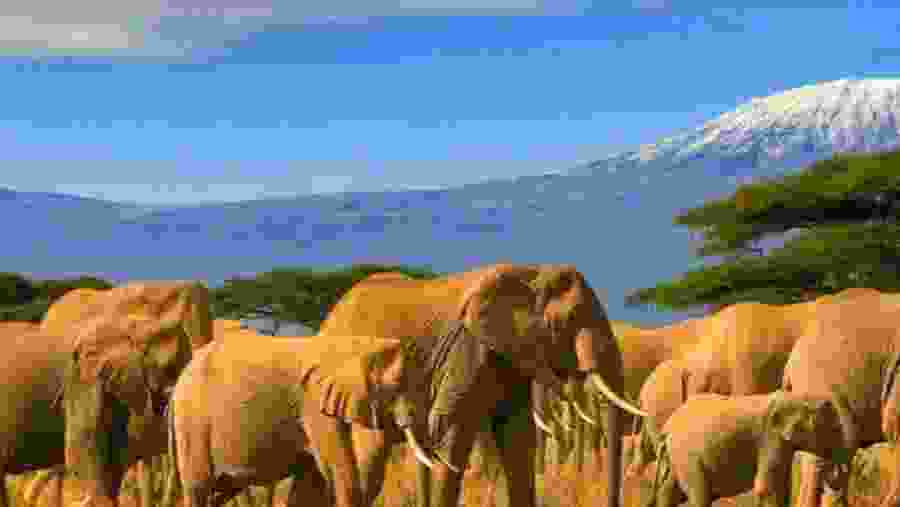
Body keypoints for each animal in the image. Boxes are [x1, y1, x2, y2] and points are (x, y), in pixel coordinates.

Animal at [168, 332, 496, 507]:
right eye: (398, 385)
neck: (357, 346)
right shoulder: (314, 406)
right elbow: (337, 469)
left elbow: (312, 480)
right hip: (191, 423)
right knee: (199, 487)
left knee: (218, 491)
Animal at [316, 263, 647, 507]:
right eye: (573, 318)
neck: (530, 271)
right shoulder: (466, 349)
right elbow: (451, 432)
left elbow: (517, 437)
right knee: (366, 459)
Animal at [646, 391, 856, 507]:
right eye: (834, 429)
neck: (798, 397)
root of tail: (667, 428)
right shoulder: (770, 437)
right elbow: (767, 487)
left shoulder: (781, 442)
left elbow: (782, 486)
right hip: (687, 458)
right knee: (700, 495)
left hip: (676, 457)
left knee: (669, 491)